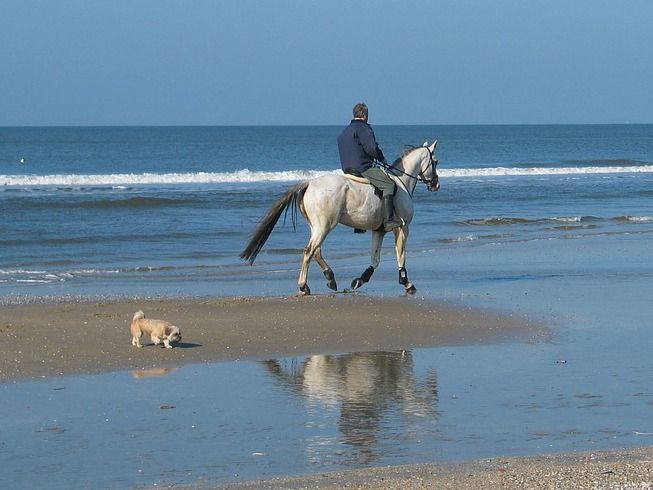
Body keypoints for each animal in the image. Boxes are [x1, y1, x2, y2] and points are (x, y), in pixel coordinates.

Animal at [239, 142, 438, 294]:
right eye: (435, 161)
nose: (435, 184)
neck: (401, 181)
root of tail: (309, 183)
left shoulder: (379, 231)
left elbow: (375, 260)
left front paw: (359, 281)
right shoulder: (402, 228)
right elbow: (401, 256)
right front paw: (407, 283)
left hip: (317, 227)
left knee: (316, 251)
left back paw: (330, 278)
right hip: (324, 226)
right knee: (309, 251)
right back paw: (304, 286)